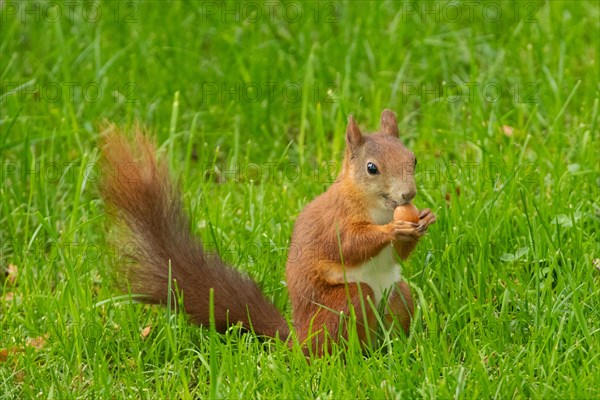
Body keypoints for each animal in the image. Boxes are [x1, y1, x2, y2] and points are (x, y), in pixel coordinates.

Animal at [99, 109, 436, 356]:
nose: (408, 194)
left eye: (413, 158)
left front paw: (424, 219)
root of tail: (299, 341)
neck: (375, 207)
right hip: (342, 304)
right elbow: (350, 245)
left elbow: (398, 255)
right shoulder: (335, 222)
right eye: (371, 168)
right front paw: (393, 228)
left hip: (398, 296)